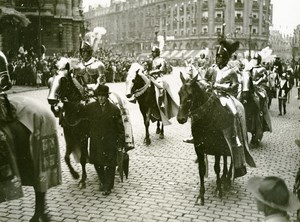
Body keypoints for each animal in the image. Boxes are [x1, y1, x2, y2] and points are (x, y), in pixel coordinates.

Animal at [177, 73, 254, 206]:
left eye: (190, 95)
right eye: (179, 93)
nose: (180, 118)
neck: (207, 119)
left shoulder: (216, 147)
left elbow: (217, 168)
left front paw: (219, 189)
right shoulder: (199, 148)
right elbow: (201, 170)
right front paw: (201, 195)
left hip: (231, 142)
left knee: (232, 158)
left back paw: (227, 181)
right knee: (226, 159)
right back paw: (224, 177)